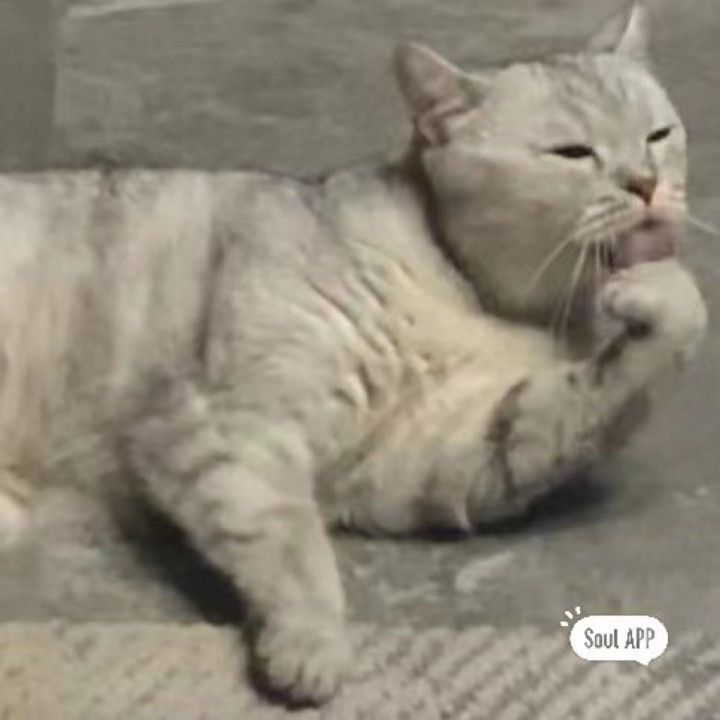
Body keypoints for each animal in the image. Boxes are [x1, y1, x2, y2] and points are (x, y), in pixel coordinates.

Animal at [0, 3, 707, 706]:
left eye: (657, 135)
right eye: (572, 152)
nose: (646, 185)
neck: (474, 296)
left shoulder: (454, 458)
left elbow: (609, 387)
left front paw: (661, 293)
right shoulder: (225, 419)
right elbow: (292, 538)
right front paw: (312, 641)